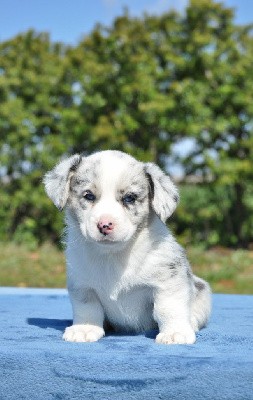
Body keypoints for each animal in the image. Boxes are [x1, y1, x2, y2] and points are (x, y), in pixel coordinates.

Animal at [44, 150, 211, 344]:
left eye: (129, 198)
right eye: (89, 196)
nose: (104, 225)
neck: (112, 255)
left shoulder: (168, 283)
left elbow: (168, 309)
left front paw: (174, 333)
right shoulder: (82, 286)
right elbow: (87, 308)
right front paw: (84, 329)